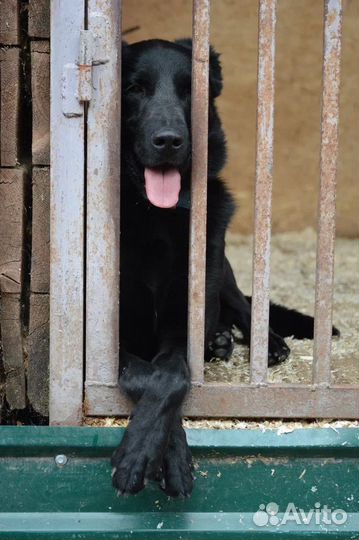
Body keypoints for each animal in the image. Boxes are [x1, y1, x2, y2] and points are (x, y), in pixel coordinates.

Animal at [111, 40, 338, 498]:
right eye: (134, 88)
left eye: (189, 91)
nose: (168, 141)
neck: (154, 216)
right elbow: (149, 375)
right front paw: (155, 454)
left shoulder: (186, 322)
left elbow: (172, 376)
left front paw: (150, 456)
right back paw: (219, 341)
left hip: (223, 269)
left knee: (243, 304)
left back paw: (259, 342)